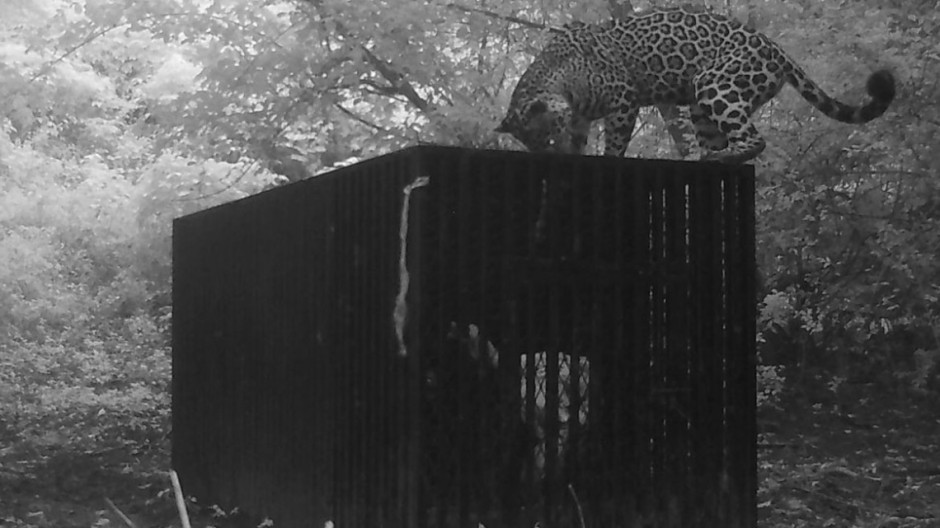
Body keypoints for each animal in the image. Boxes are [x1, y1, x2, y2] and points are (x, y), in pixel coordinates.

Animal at [496, 6, 895, 164]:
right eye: (536, 146)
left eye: (547, 137)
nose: (552, 153)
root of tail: (777, 49)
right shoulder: (580, 119)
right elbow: (580, 141)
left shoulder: (623, 99)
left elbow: (616, 143)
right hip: (699, 108)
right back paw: (709, 156)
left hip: (714, 82)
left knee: (755, 140)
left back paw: (722, 156)